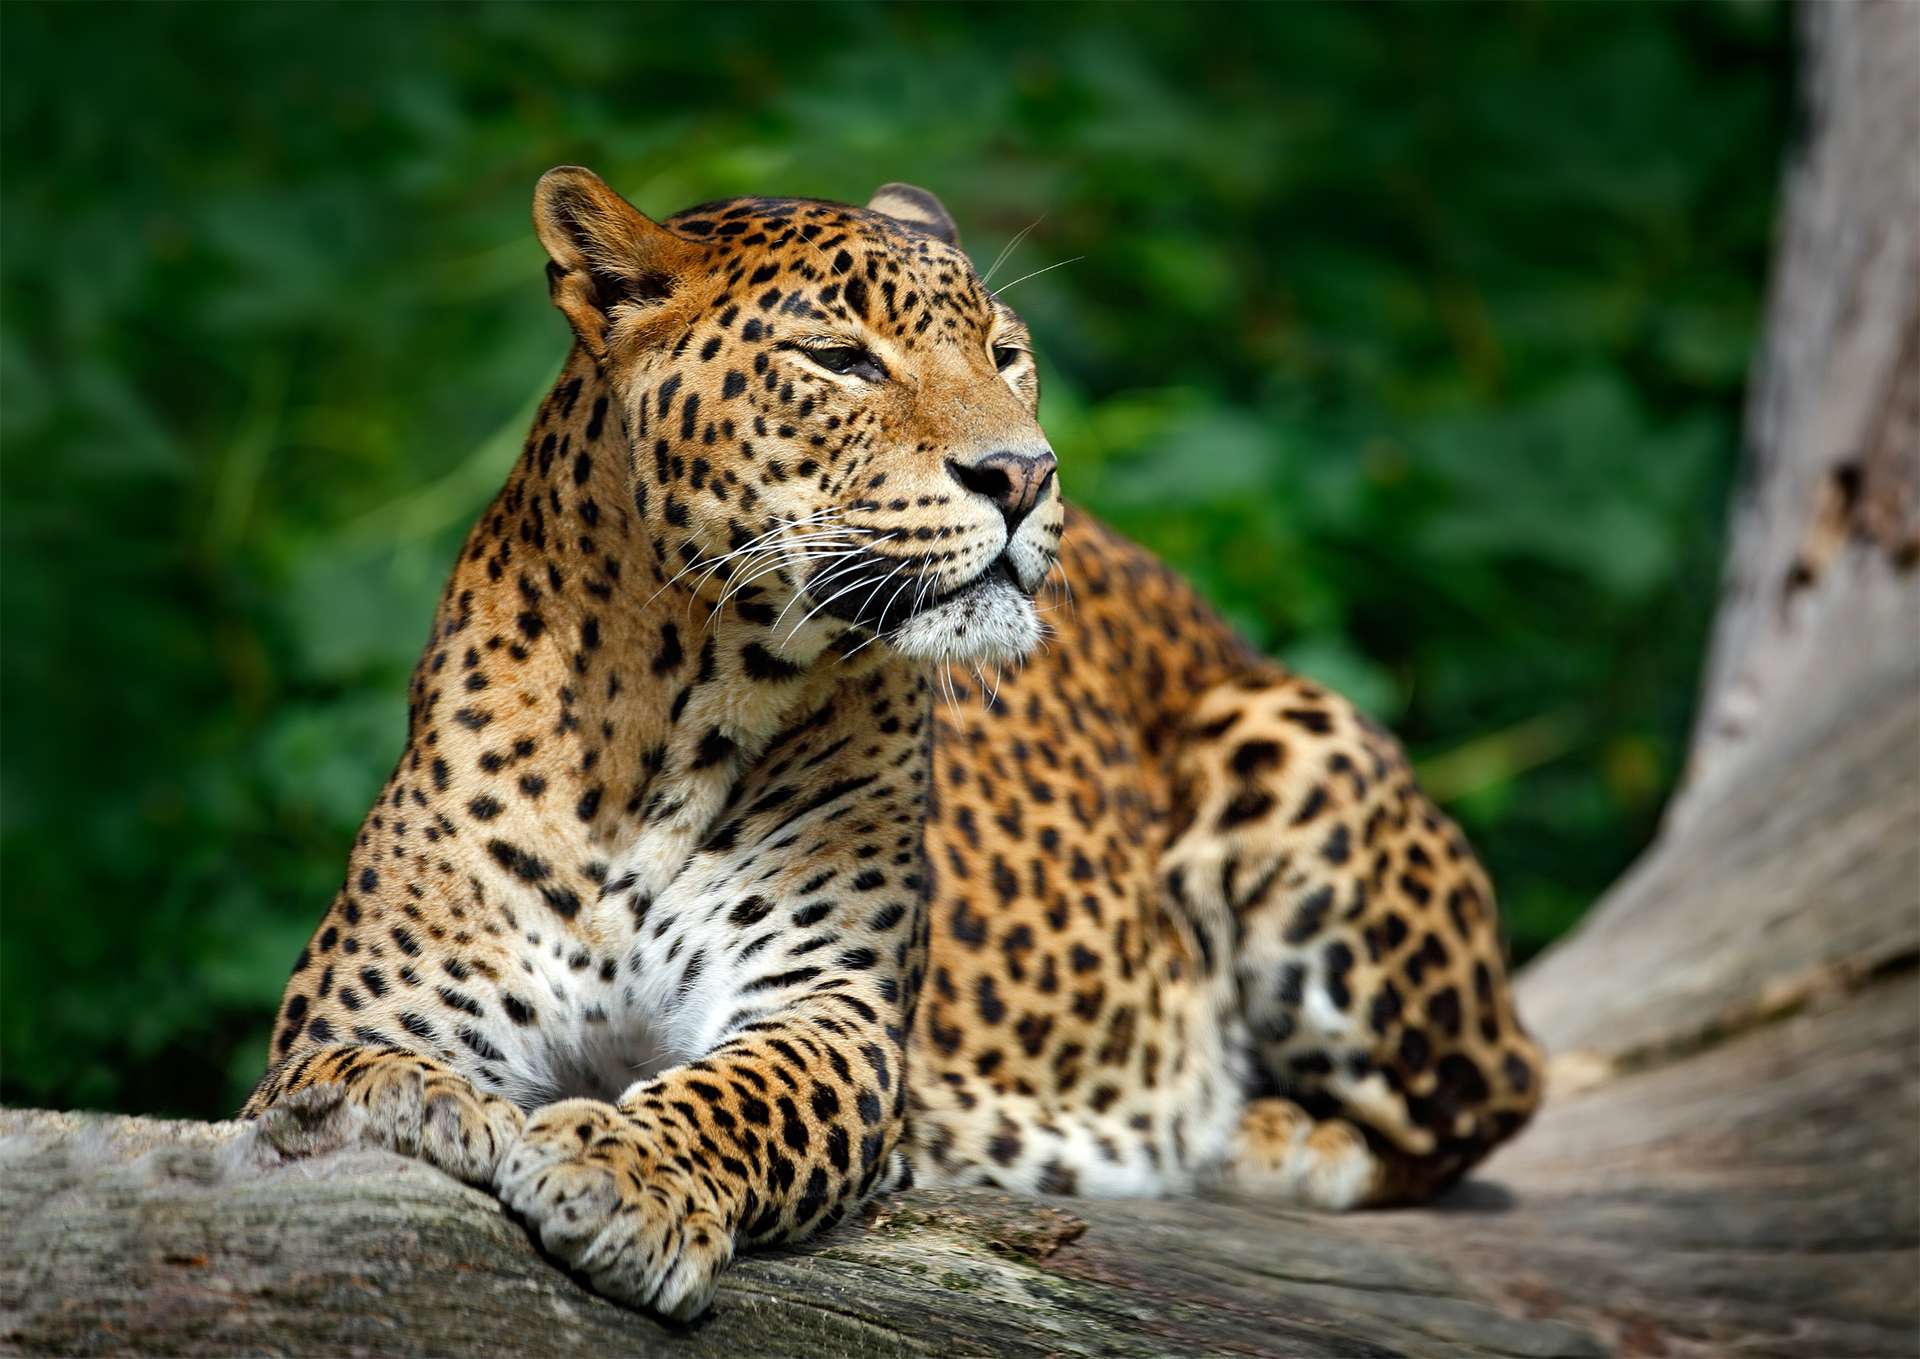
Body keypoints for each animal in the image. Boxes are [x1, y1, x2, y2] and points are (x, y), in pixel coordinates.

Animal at [243, 166, 1543, 1312]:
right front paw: (416, 1108)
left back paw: (1256, 1133)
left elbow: (739, 1096)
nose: (1024, 472)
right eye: (840, 359)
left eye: (1006, 354)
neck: (670, 716)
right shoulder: (369, 1002)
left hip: (1289, 737)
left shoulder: (831, 1008)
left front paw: (622, 1173)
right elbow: (341, 1075)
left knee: (1489, 1100)